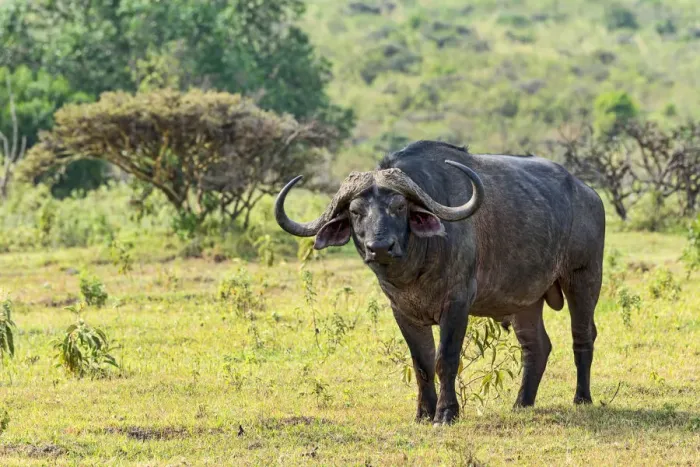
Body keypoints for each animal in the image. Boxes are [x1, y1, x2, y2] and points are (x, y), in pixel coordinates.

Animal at [274, 141, 605, 425]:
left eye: (399, 207)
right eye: (356, 212)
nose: (379, 247)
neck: (415, 270)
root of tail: (589, 194)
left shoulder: (457, 304)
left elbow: (445, 359)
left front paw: (446, 413)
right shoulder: (402, 312)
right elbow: (421, 363)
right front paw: (423, 412)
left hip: (584, 279)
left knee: (582, 335)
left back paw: (582, 398)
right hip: (525, 301)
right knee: (536, 346)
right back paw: (522, 403)